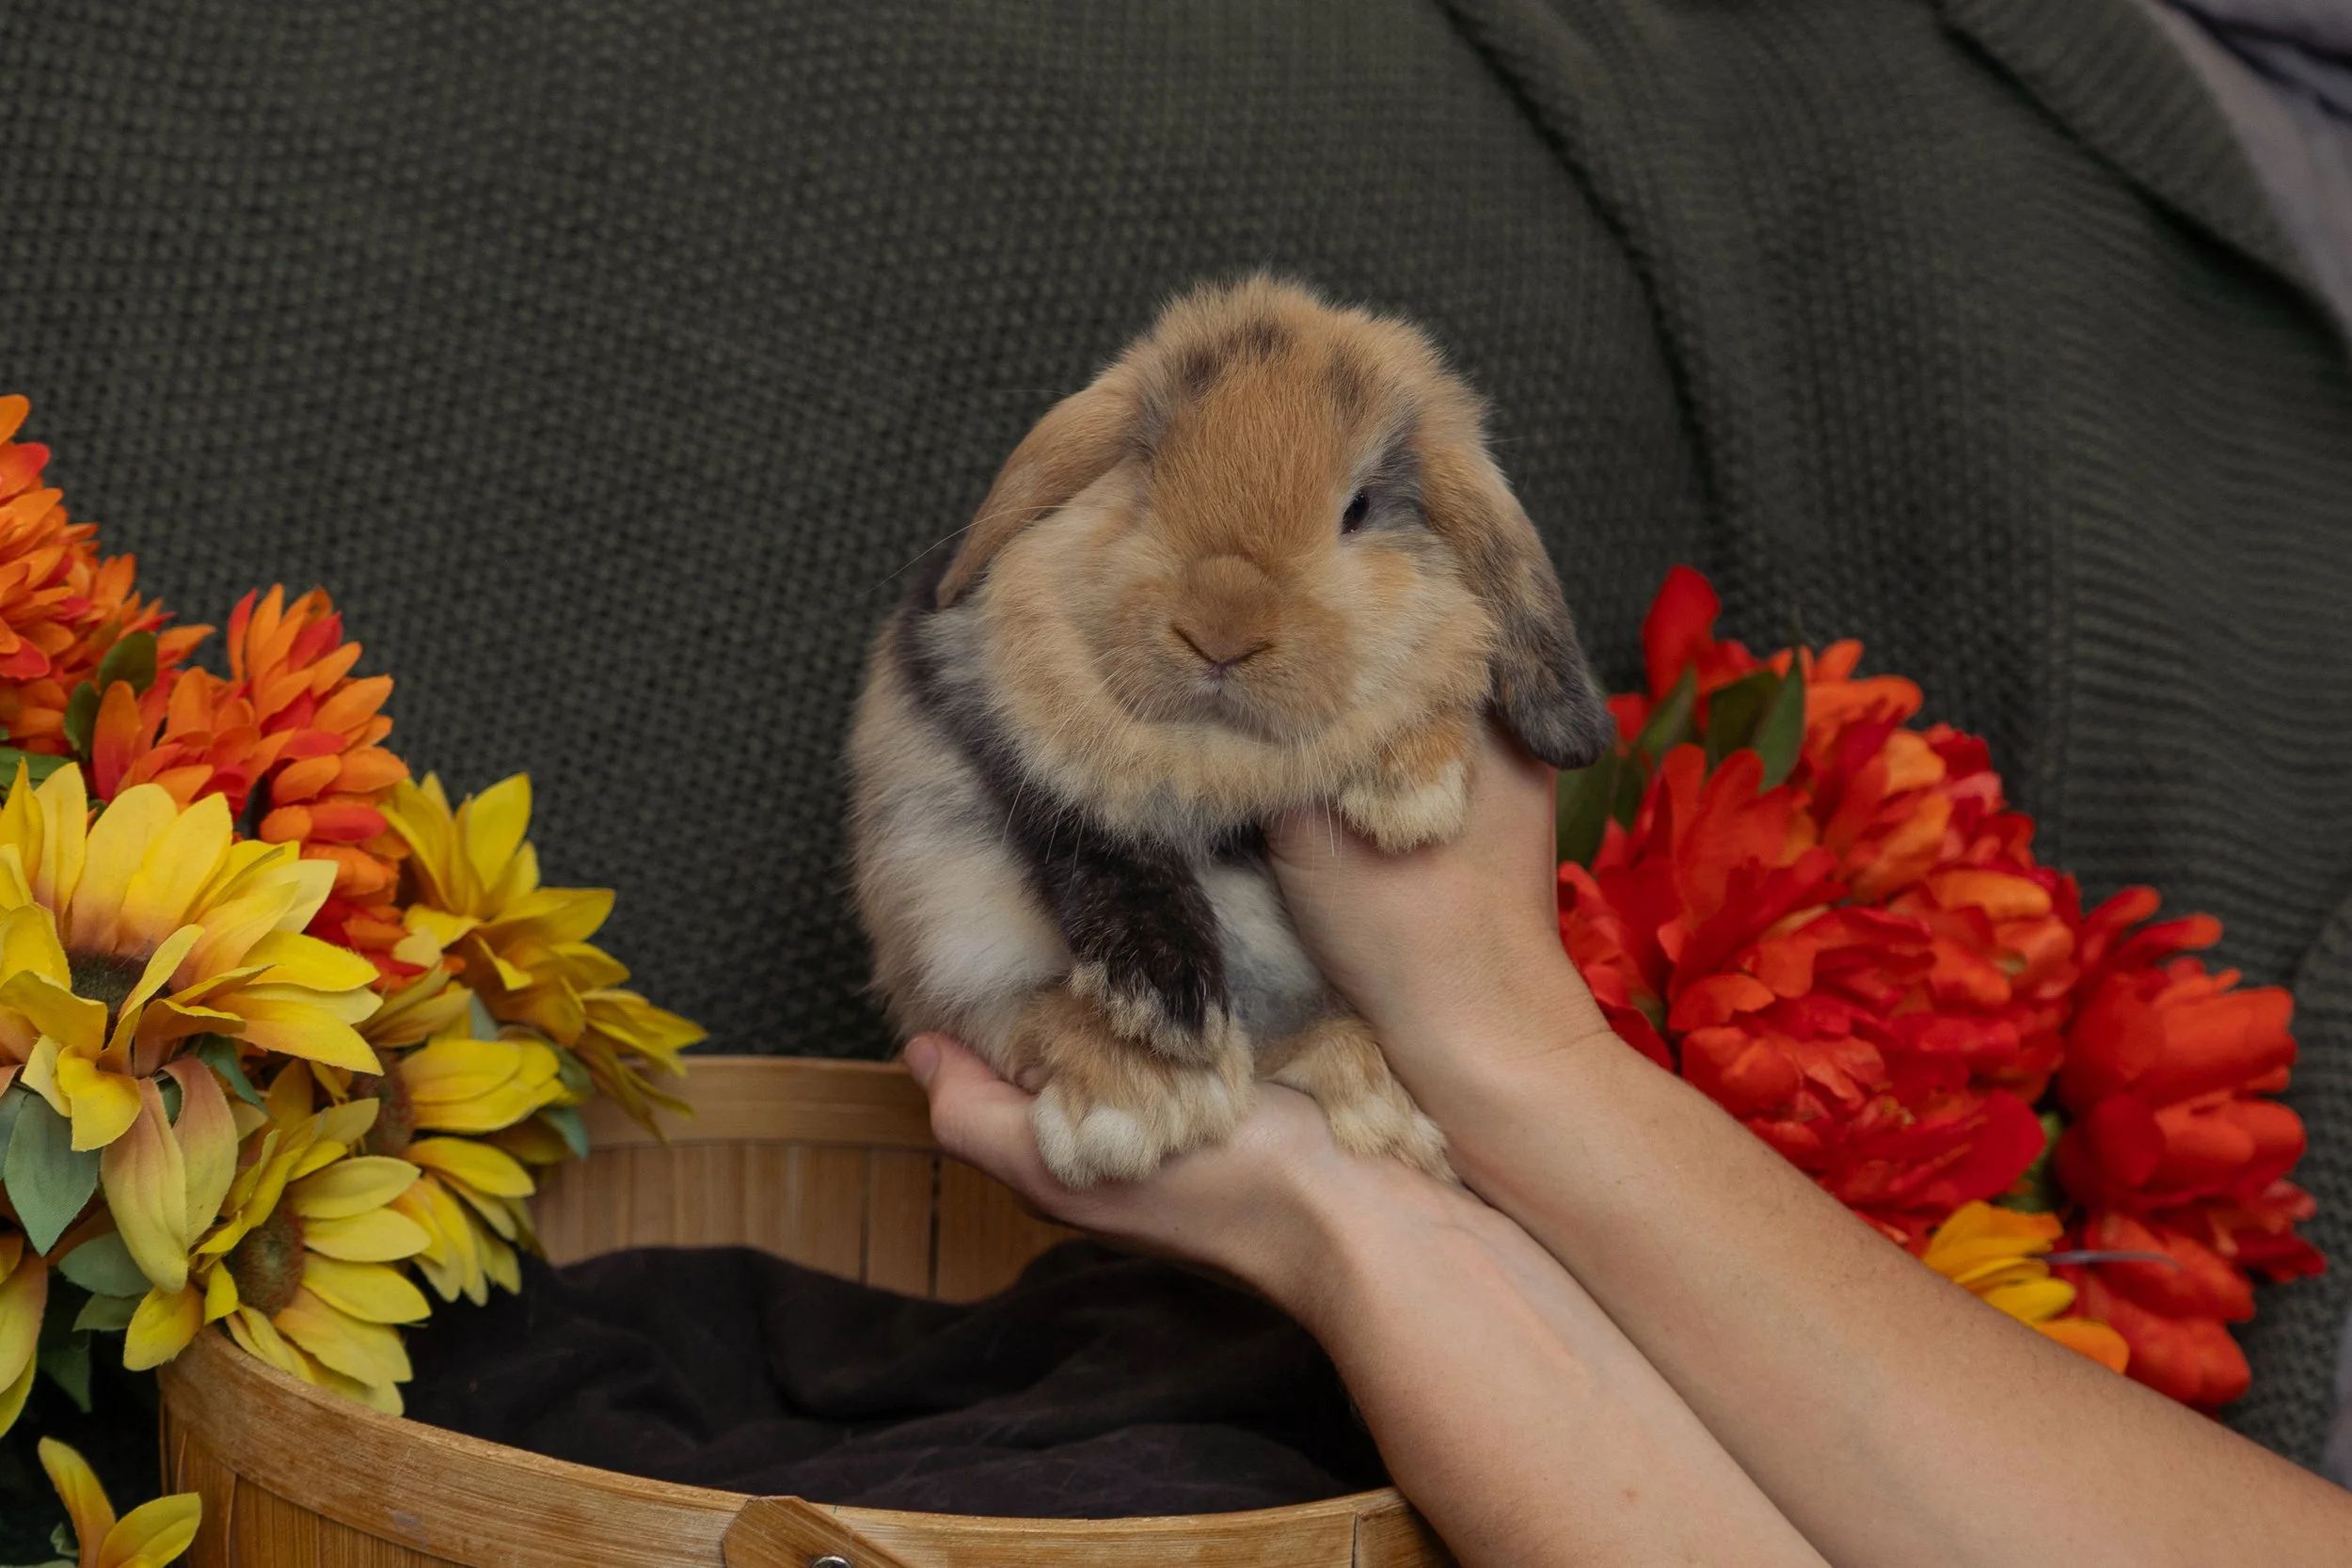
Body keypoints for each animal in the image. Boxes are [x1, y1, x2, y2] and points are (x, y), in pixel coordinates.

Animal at [848, 275, 1610, 1187]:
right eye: (1146, 469)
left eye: (1359, 510)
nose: (1221, 629)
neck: (1214, 752)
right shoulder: (994, 725)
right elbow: (1101, 834)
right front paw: (1167, 1013)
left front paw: (1407, 792)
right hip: (939, 910)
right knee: (1015, 1007)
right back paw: (1141, 1095)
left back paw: (1378, 1105)